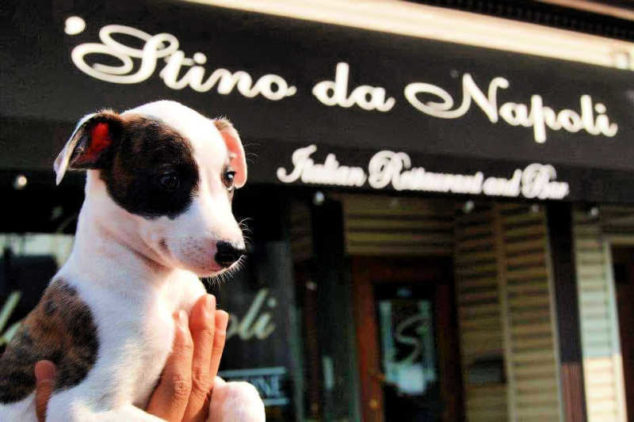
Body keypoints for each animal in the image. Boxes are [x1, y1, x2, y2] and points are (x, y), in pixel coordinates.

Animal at [0, 100, 264, 420]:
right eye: (169, 179)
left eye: (229, 177)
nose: (233, 251)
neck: (161, 284)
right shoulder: (79, 405)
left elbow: (245, 390)